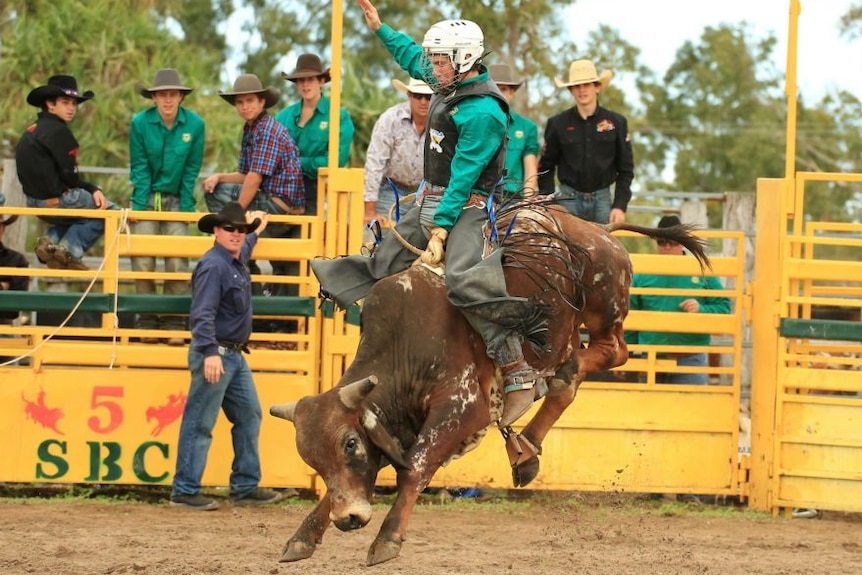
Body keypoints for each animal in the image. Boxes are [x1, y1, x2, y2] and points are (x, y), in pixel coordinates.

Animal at [270, 204, 708, 568]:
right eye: (311, 458)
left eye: (350, 444)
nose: (350, 519)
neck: (404, 343)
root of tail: (597, 228)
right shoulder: (400, 420)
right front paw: (304, 535)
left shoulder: (464, 408)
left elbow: (415, 467)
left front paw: (387, 539)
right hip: (566, 330)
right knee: (568, 382)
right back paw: (527, 445)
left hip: (604, 306)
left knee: (611, 351)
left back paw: (559, 377)